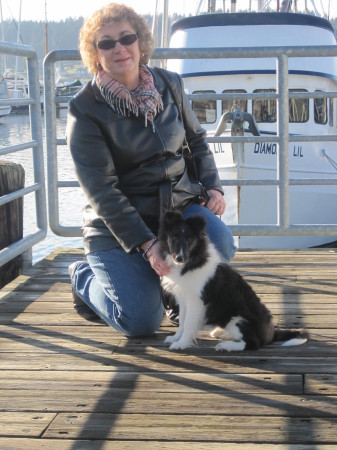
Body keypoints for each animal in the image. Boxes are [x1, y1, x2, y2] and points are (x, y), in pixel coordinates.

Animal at [159, 211, 308, 352]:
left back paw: (226, 346)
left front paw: (181, 344)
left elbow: (188, 324)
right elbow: (182, 322)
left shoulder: (196, 301)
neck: (191, 262)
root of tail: (272, 333)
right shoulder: (184, 298)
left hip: (238, 319)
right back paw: (221, 334)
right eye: (173, 238)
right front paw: (176, 338)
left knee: (253, 343)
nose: (179, 258)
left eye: (189, 240)